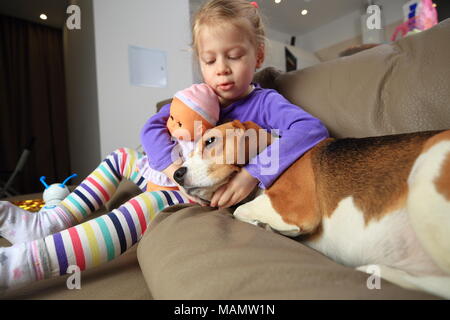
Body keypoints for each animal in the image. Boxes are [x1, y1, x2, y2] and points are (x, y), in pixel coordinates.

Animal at [175, 120, 450, 298]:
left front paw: (267, 226)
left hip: (428, 168)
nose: (177, 174)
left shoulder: (291, 207)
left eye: (211, 141)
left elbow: (240, 210)